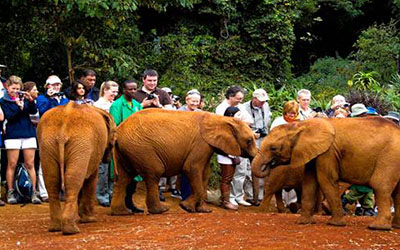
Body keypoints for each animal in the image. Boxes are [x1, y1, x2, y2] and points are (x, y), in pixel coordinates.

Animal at [37, 102, 115, 235]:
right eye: (114, 138)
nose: (108, 160)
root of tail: (62, 132)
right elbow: (91, 179)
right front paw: (89, 220)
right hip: (80, 145)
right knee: (73, 182)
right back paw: (71, 230)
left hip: (47, 144)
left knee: (52, 182)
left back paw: (56, 227)